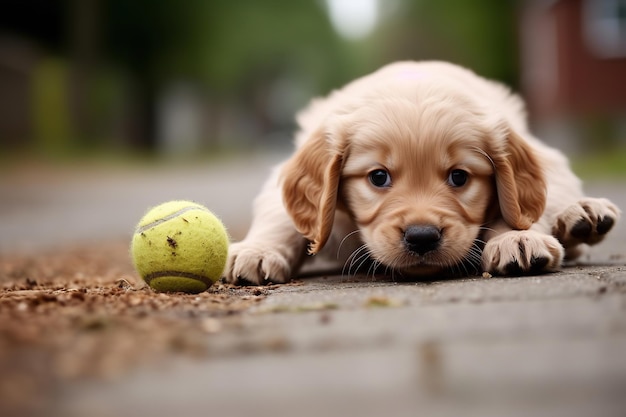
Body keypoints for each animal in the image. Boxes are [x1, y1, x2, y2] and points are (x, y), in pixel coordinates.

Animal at [222, 61, 616, 282]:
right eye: (378, 177)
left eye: (459, 177)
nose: (422, 237)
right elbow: (280, 217)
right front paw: (257, 251)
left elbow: (516, 211)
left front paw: (516, 239)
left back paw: (582, 215)